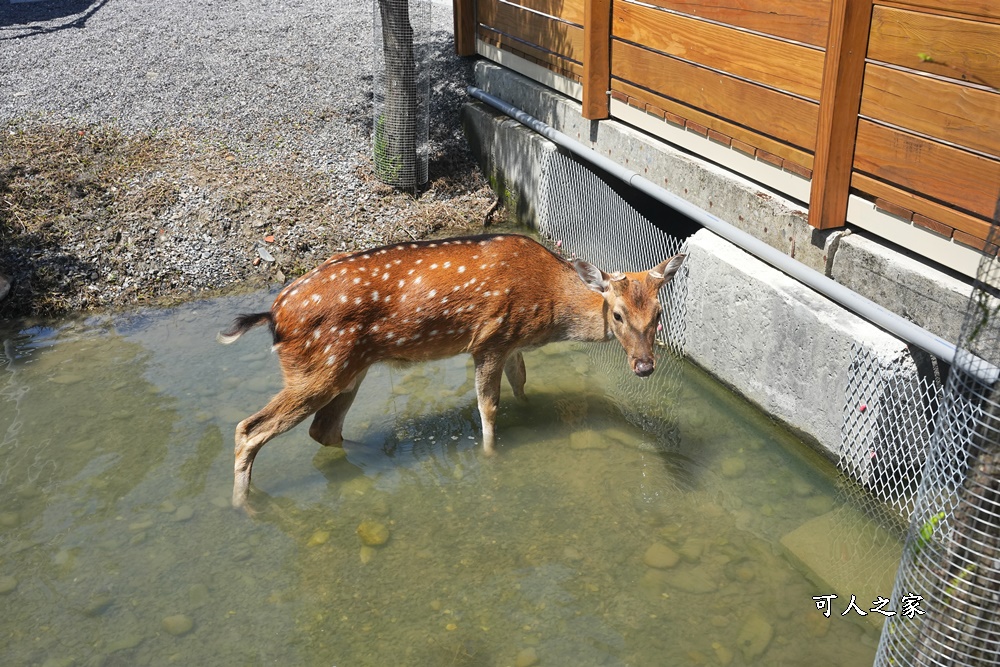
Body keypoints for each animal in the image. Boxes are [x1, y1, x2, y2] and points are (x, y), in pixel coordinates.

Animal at [220, 232, 684, 508]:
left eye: (660, 313)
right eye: (618, 315)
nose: (645, 365)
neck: (550, 306)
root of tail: (274, 315)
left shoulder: (512, 343)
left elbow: (521, 384)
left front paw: (530, 414)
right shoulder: (490, 338)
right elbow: (488, 407)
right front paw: (491, 459)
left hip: (350, 368)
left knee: (324, 429)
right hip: (319, 367)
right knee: (250, 429)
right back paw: (243, 504)